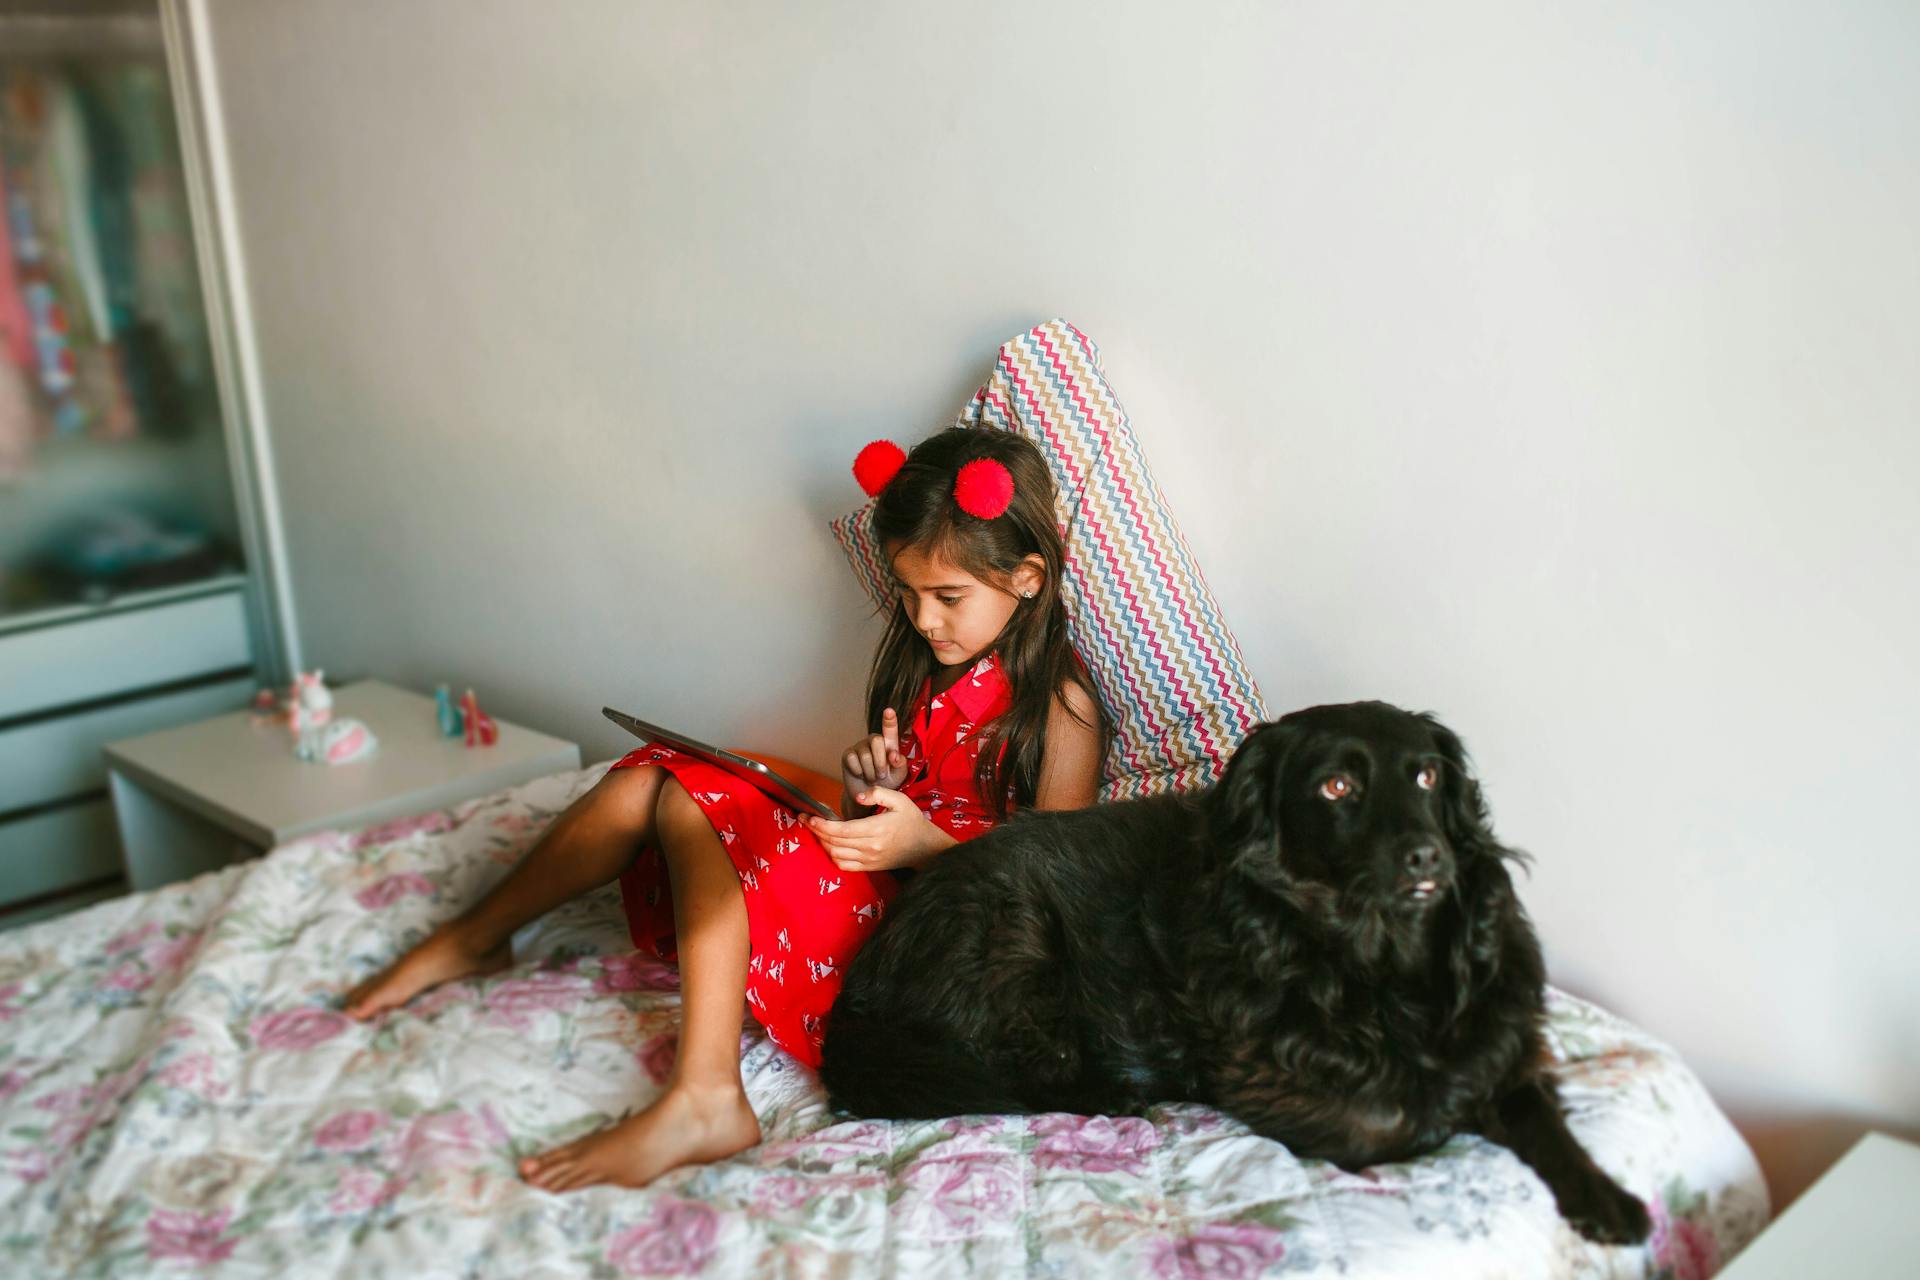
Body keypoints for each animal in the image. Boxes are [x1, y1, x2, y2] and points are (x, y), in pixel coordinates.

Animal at [821, 702, 1651, 1243]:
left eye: (1424, 777)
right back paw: (1113, 1093)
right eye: (1337, 787)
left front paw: (1602, 1195)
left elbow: (1533, 1108)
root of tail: (857, 994)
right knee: (1021, 1074)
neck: (1378, 962)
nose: (1430, 859)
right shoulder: (1269, 1081)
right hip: (1015, 936)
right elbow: (1391, 1123)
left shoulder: (1501, 1044)